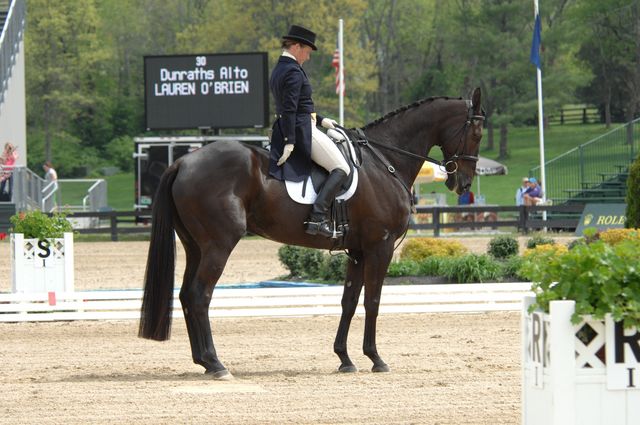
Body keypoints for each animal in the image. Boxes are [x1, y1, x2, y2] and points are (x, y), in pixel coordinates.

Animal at [140, 86, 484, 378]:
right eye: (477, 133)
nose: (464, 183)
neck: (386, 161)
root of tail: (183, 162)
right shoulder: (380, 246)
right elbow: (373, 301)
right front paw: (376, 359)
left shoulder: (358, 251)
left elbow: (349, 301)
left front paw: (345, 359)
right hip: (219, 245)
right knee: (200, 295)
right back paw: (216, 363)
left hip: (195, 246)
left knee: (186, 294)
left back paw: (202, 361)